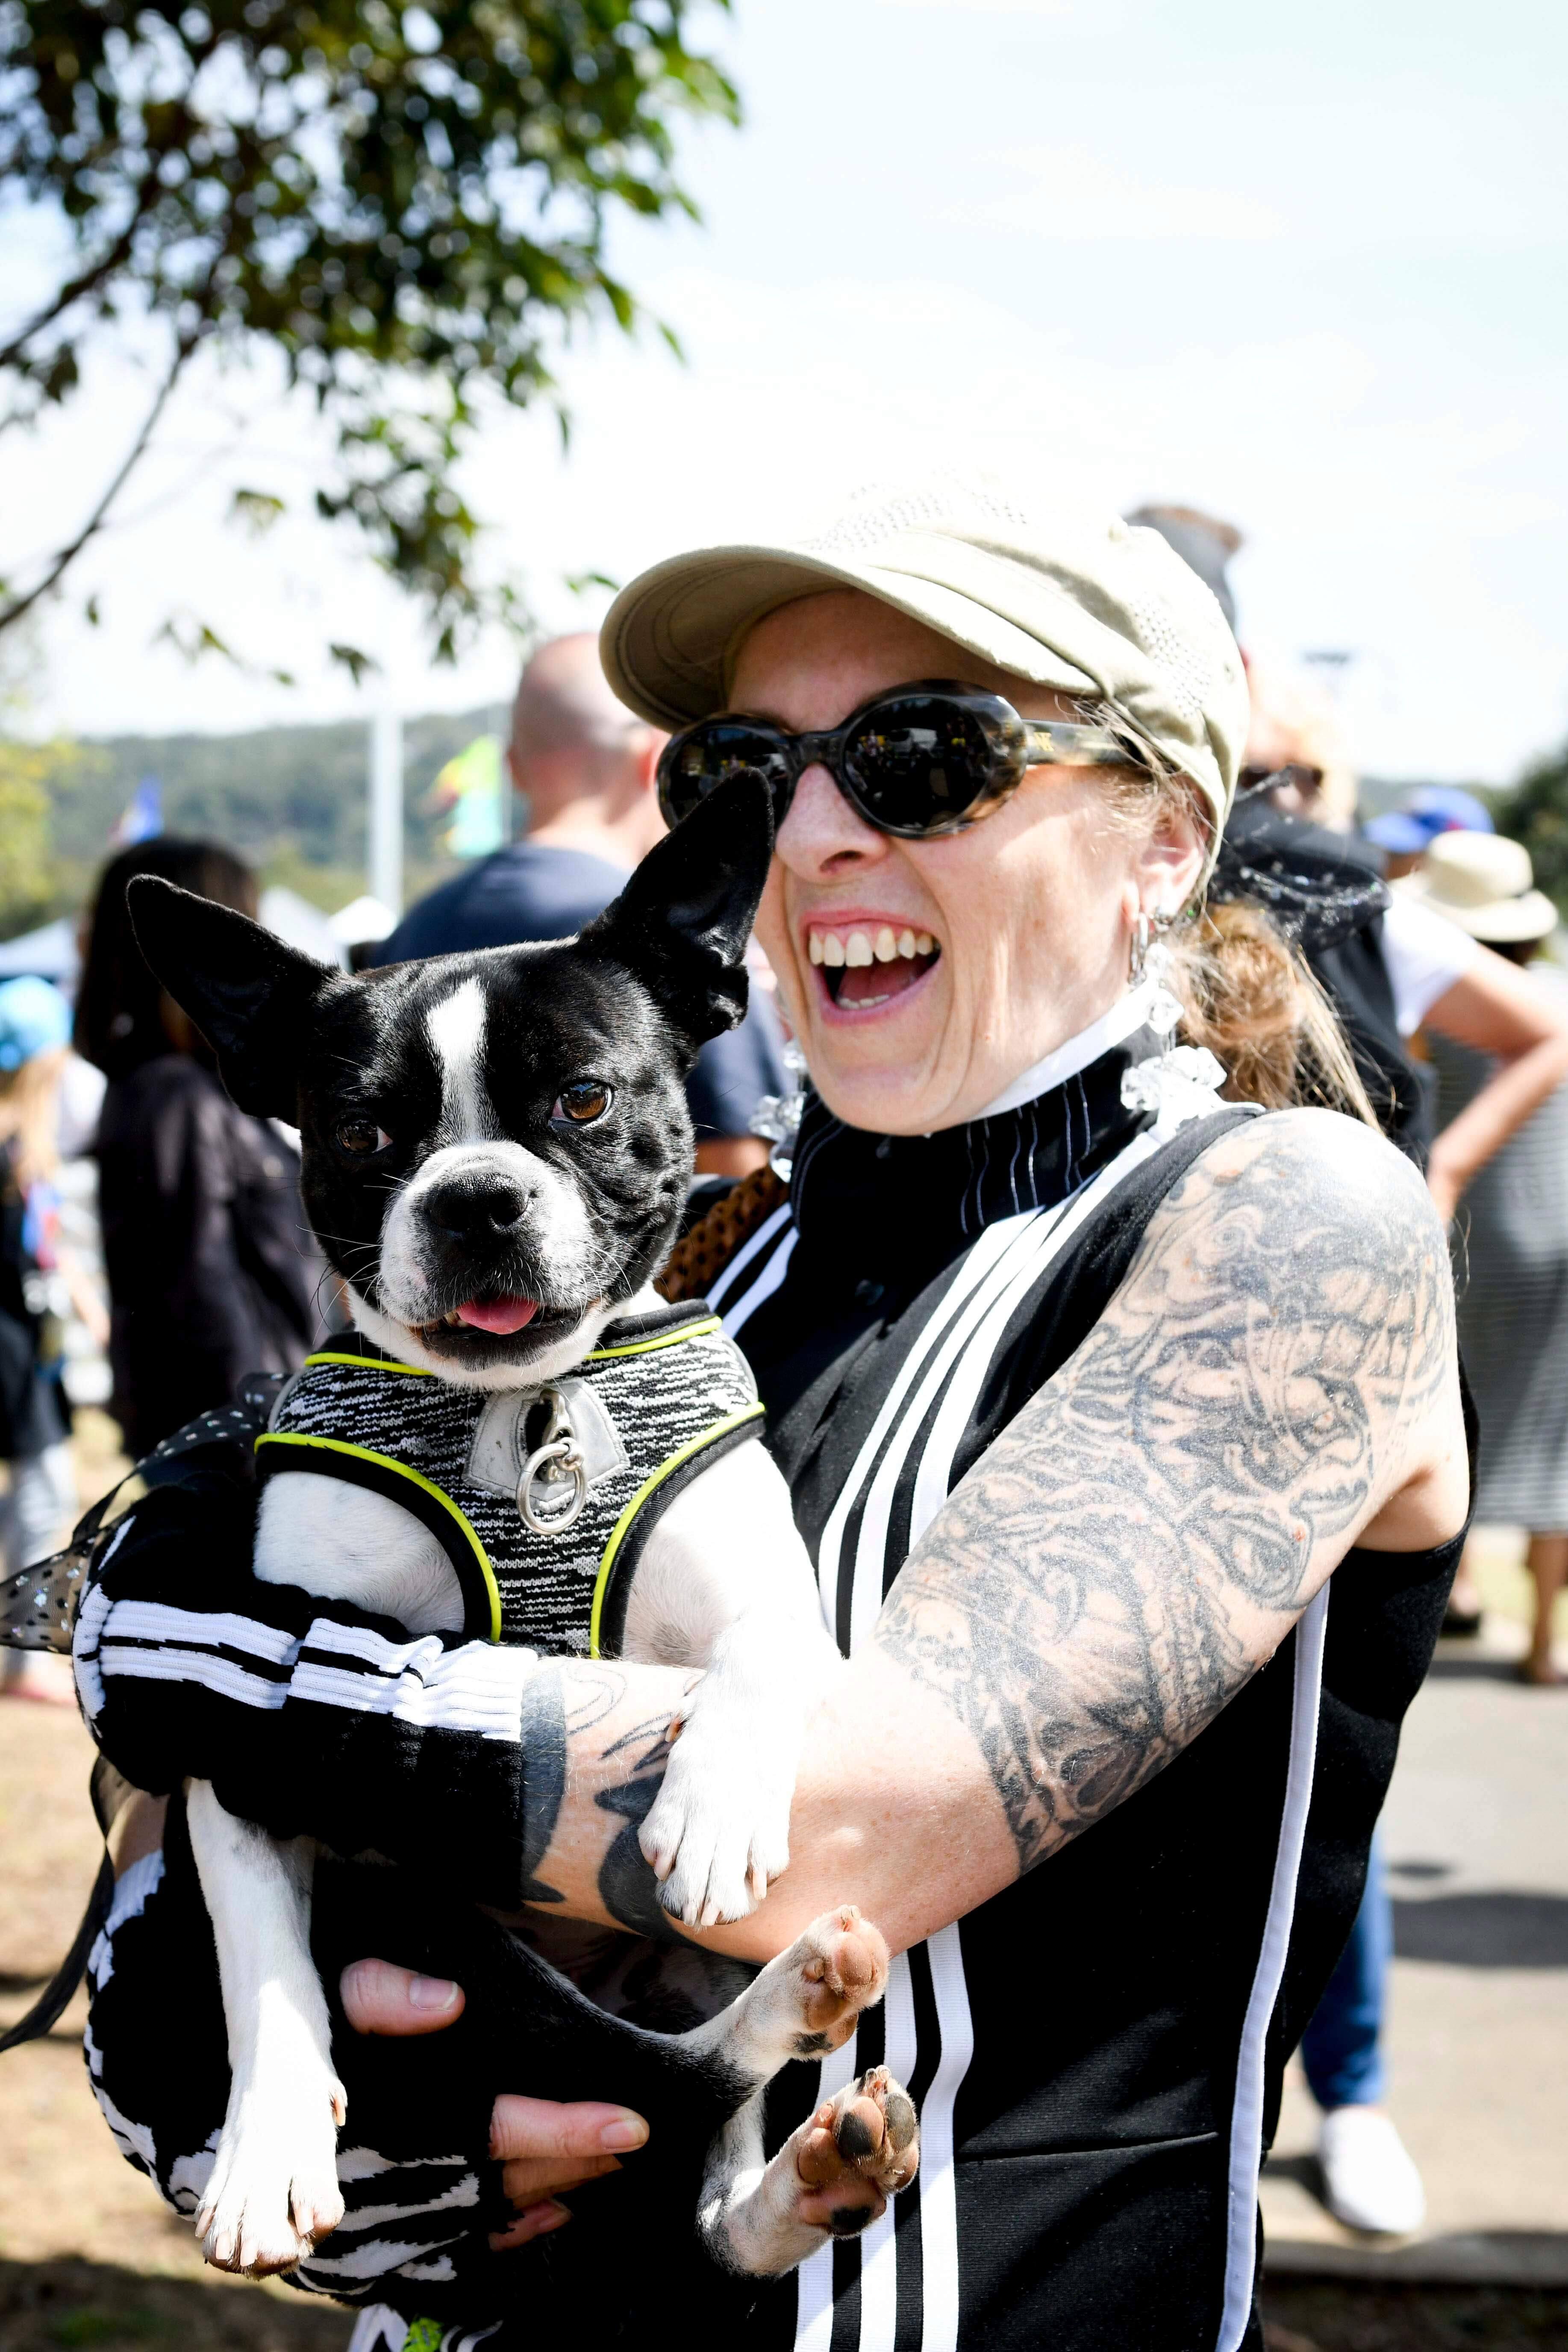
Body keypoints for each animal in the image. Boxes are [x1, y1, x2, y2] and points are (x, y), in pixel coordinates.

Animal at [135, 781, 921, 2286]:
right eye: (362, 1137)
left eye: (585, 1100)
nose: (475, 1195)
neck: (519, 1404)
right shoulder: (256, 1722)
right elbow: (263, 1965)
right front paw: (266, 2151)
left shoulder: (775, 1598)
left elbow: (756, 1653)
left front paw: (712, 1806)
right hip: (440, 1928)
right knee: (662, 2088)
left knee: (701, 2135)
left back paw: (802, 2131)